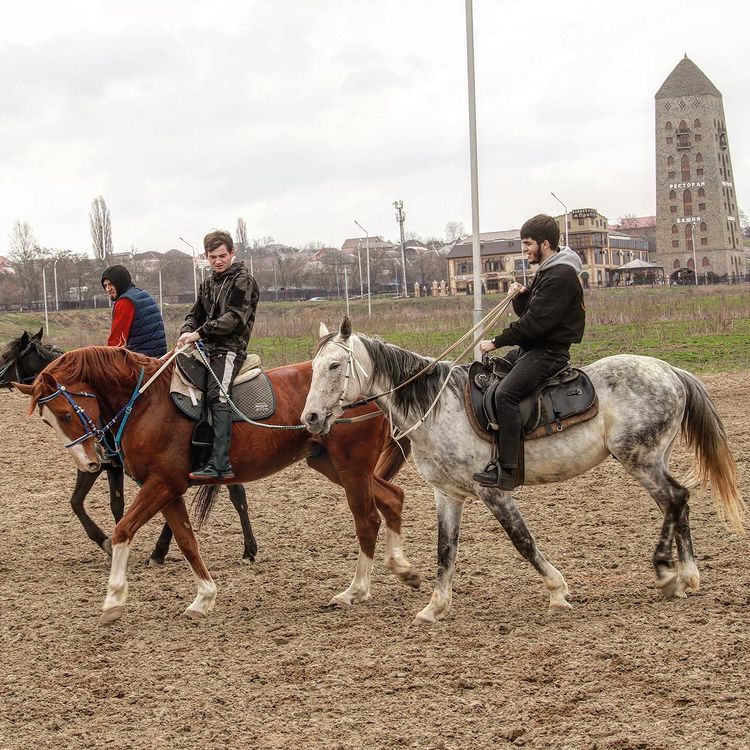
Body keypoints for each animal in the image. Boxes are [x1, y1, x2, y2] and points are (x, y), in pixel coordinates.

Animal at [14, 346, 420, 624]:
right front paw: (204, 597)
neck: (147, 402)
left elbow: (123, 530)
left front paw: (113, 600)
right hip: (334, 466)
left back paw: (355, 591)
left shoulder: (162, 483)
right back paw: (404, 570)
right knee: (393, 498)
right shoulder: (167, 489)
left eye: (66, 414)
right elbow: (187, 541)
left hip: (352, 468)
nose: (90, 462)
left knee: (367, 520)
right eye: (49, 421)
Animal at [302, 318, 744, 624]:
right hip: (648, 460)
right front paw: (434, 607)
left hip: (640, 458)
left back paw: (668, 572)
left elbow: (523, 541)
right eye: (313, 367)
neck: (438, 407)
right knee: (677, 502)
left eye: (336, 365)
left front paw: (557, 591)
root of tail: (670, 371)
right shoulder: (448, 493)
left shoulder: (493, 491)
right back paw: (687, 576)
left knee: (676, 498)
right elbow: (446, 549)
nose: (311, 418)